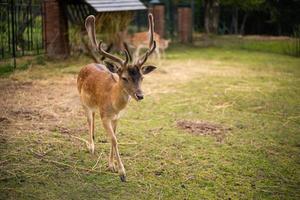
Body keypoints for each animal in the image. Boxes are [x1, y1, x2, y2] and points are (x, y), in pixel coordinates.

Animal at [77, 14, 157, 182]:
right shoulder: (105, 116)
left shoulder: (116, 117)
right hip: (83, 102)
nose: (140, 95)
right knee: (89, 120)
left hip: (94, 107)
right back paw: (91, 146)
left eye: (142, 77)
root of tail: (87, 65)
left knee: (93, 117)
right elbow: (114, 139)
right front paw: (122, 173)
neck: (113, 104)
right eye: (125, 78)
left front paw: (111, 165)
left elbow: (114, 138)